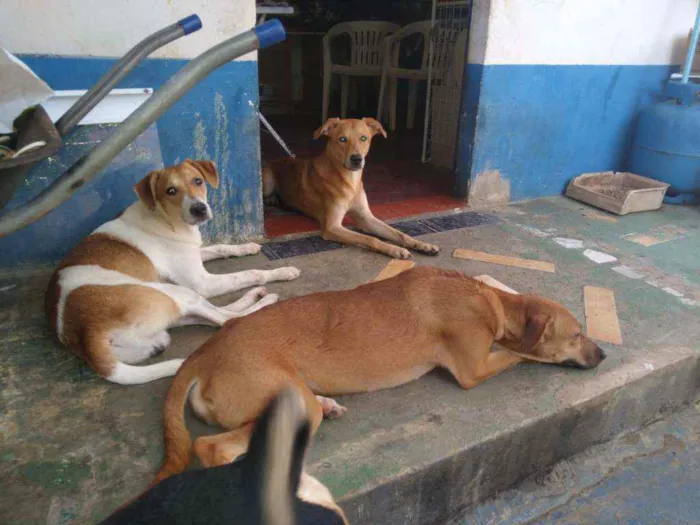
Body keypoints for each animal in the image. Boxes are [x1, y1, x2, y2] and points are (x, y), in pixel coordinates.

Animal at [45, 160, 298, 384]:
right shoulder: (201, 282)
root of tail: (85, 333)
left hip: (163, 325)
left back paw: (253, 296)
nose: (199, 209)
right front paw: (283, 271)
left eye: (198, 181)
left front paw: (246, 247)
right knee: (226, 320)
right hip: (175, 293)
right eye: (171, 191)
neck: (166, 218)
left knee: (213, 315)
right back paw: (264, 301)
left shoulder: (194, 255)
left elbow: (220, 247)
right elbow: (250, 272)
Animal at [154, 266, 608, 484]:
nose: (603, 354)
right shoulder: (473, 369)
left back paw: (328, 403)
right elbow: (520, 354)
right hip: (282, 402)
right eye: (577, 334)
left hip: (293, 395)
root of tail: (204, 352)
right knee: (212, 447)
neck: (490, 305)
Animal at [262, 117, 438, 258]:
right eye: (342, 139)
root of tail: (276, 160)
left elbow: (399, 233)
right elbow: (371, 238)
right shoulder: (332, 227)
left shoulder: (366, 217)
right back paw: (271, 200)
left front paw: (421, 245)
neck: (349, 181)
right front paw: (394, 249)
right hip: (268, 180)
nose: (356, 159)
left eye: (363, 138)